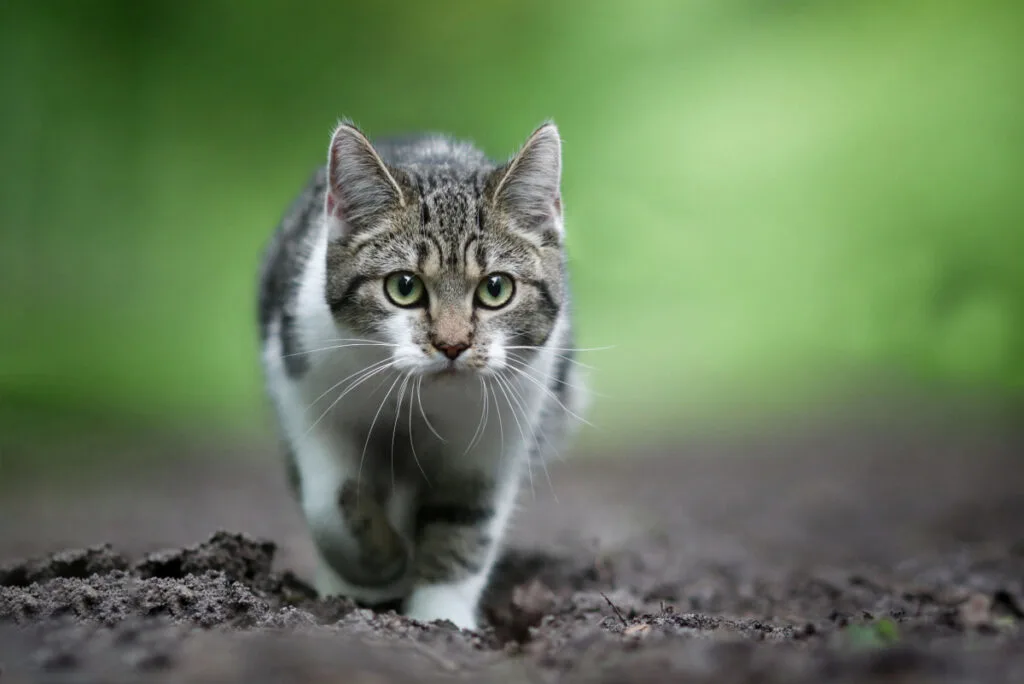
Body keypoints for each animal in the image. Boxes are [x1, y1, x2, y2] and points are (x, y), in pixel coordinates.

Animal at [256, 118, 585, 630]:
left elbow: (465, 523)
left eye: (496, 289)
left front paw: (440, 619)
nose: (451, 345)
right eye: (404, 287)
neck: (420, 400)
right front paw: (378, 567)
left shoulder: (499, 435)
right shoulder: (304, 386)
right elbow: (331, 499)